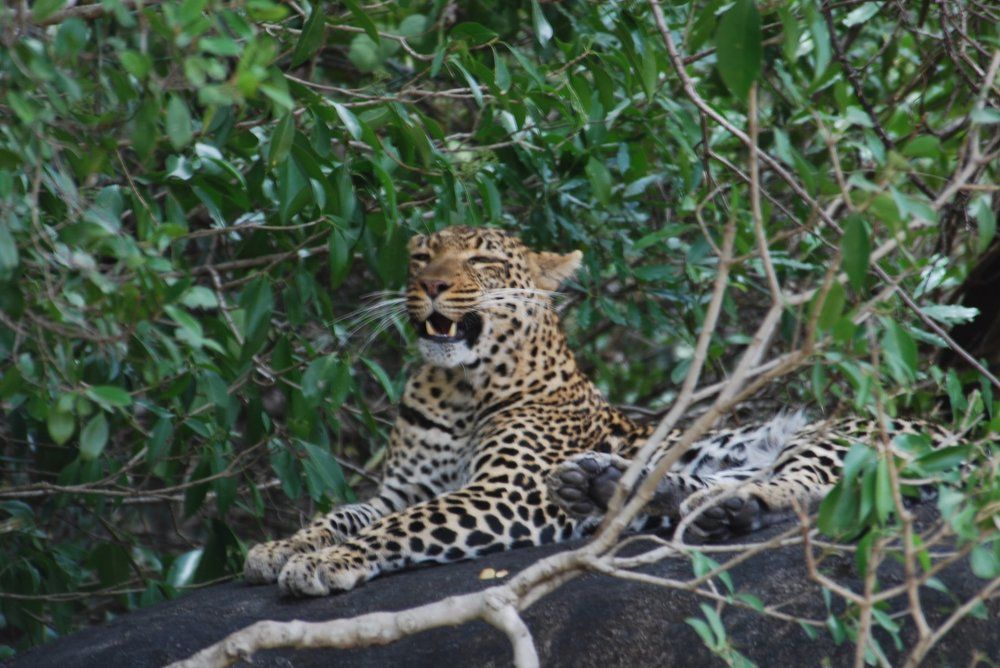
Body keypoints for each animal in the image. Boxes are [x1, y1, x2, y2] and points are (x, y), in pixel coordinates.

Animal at [243, 225, 948, 597]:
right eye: (421, 256)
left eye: (481, 260)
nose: (430, 286)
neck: (457, 388)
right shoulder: (401, 487)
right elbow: (345, 514)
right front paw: (283, 547)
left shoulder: (506, 493)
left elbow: (404, 525)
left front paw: (330, 562)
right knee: (712, 481)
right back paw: (618, 487)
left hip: (843, 433)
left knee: (809, 490)